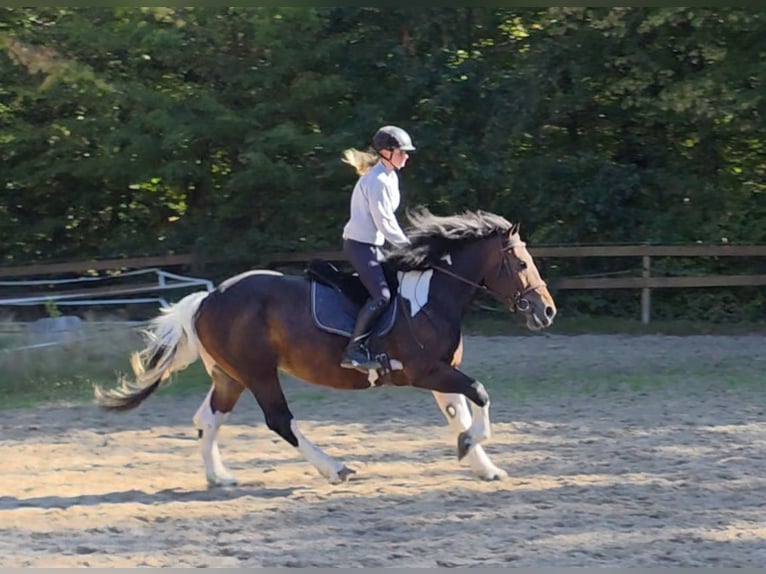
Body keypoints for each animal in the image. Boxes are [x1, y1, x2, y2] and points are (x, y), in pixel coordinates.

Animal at [94, 208, 557, 486]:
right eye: (520, 263)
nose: (547, 311)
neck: (432, 296)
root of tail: (207, 299)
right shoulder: (428, 371)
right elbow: (479, 393)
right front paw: (471, 447)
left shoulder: (440, 373)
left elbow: (459, 413)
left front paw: (483, 465)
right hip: (258, 372)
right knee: (280, 421)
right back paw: (335, 468)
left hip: (230, 375)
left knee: (207, 419)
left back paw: (219, 477)